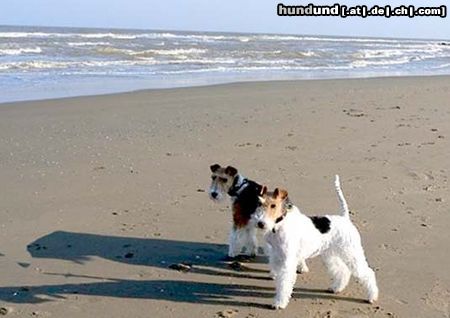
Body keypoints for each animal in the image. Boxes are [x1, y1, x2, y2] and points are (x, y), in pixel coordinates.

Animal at [255, 175, 378, 310]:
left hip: (352, 253)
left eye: (273, 205)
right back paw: (336, 288)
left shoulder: (287, 262)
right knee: (343, 271)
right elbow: (279, 280)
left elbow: (284, 284)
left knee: (368, 273)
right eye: (259, 203)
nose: (260, 224)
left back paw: (372, 297)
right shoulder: (276, 256)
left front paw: (278, 303)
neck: (279, 225)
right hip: (331, 255)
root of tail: (345, 218)